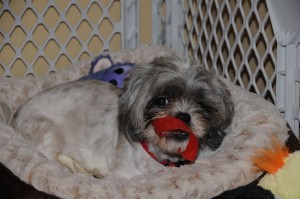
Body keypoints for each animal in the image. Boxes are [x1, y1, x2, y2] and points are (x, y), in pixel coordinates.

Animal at [12, 55, 234, 178]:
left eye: (201, 104)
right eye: (162, 100)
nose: (183, 116)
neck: (161, 158)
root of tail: (16, 113)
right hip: (47, 131)